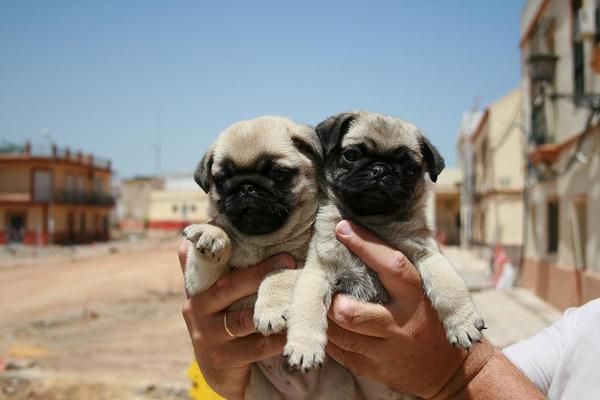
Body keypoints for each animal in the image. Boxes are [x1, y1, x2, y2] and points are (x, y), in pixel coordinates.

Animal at [183, 115, 358, 400]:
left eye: (278, 175)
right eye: (223, 179)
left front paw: (270, 311)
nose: (246, 187)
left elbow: (276, 274)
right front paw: (212, 234)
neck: (261, 243)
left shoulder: (304, 265)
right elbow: (211, 254)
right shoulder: (200, 285)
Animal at [284, 111, 486, 398]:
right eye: (351, 155)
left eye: (410, 170)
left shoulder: (428, 254)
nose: (380, 170)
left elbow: (449, 287)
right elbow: (308, 307)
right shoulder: (319, 270)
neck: (372, 223)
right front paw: (304, 346)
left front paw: (463, 322)